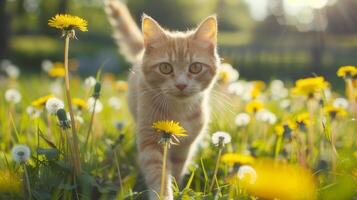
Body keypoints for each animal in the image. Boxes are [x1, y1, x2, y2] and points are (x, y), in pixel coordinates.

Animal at [104, 1, 218, 198]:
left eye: (195, 67)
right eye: (165, 68)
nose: (181, 84)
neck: (179, 110)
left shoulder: (185, 146)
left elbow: (178, 167)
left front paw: (178, 188)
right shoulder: (151, 140)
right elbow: (159, 172)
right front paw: (164, 194)